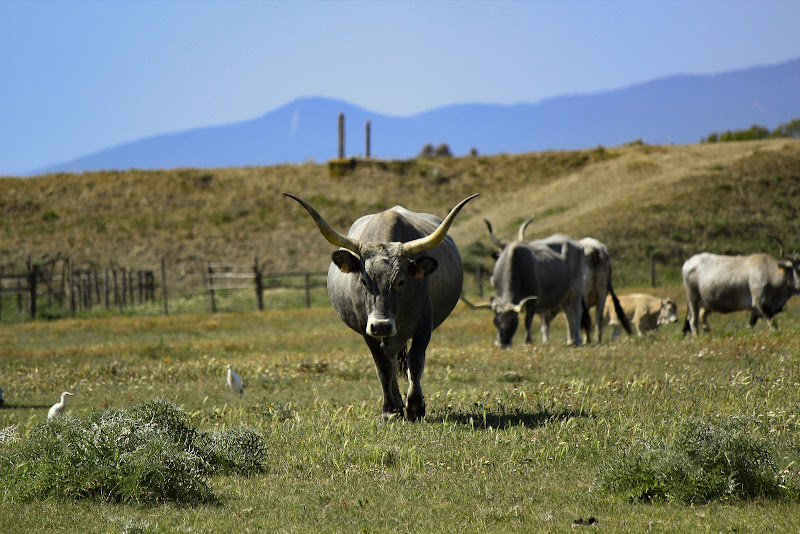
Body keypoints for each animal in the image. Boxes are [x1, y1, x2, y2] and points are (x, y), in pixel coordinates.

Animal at [286, 195, 476, 420]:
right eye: (364, 280)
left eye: (401, 281)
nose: (381, 325)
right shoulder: (366, 329)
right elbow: (383, 367)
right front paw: (390, 410)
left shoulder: (424, 325)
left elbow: (415, 361)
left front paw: (415, 406)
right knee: (391, 362)